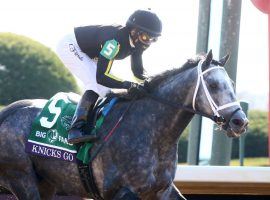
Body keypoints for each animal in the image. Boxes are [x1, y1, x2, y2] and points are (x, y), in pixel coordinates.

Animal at [0, 50, 249, 199]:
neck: (153, 134)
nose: (240, 121)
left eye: (232, 83)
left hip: (47, 183)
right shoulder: (120, 192)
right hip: (22, 177)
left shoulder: (162, 190)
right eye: (213, 85)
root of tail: (10, 111)